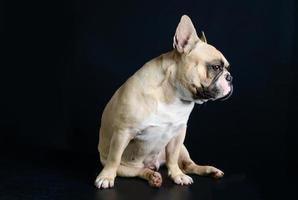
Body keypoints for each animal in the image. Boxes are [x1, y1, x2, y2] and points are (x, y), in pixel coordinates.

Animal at [95, 14, 233, 188]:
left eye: (226, 67)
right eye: (215, 67)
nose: (230, 77)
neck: (173, 95)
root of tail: (153, 164)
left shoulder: (178, 134)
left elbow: (172, 158)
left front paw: (177, 175)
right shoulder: (123, 132)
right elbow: (114, 158)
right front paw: (106, 177)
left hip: (183, 149)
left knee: (188, 165)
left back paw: (209, 170)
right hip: (122, 165)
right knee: (134, 170)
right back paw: (152, 176)